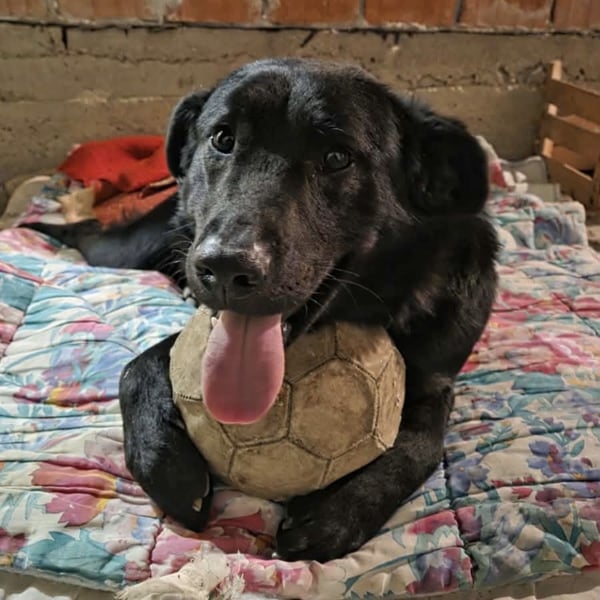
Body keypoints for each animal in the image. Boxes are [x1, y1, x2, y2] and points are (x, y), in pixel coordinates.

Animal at [25, 58, 498, 562]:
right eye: (223, 139)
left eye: (337, 158)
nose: (224, 269)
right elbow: (136, 367)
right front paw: (162, 457)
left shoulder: (437, 379)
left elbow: (422, 443)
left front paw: (342, 510)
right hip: (131, 247)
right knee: (87, 233)